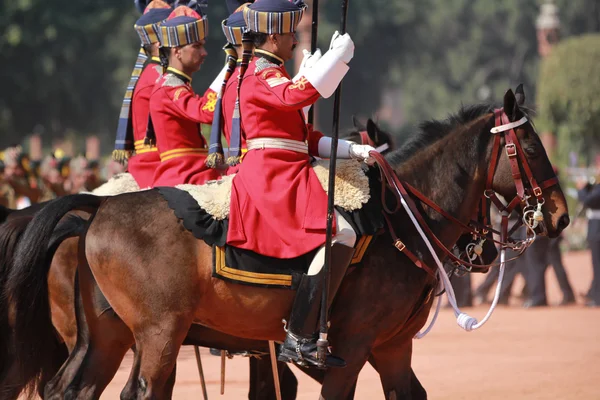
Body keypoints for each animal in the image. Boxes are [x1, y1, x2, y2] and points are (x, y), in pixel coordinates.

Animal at [5, 88, 568, 400]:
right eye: (532, 146)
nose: (561, 216)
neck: (401, 224)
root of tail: (98, 207)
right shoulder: (348, 352)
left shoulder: (391, 349)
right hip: (159, 335)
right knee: (137, 391)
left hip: (106, 337)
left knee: (70, 389)